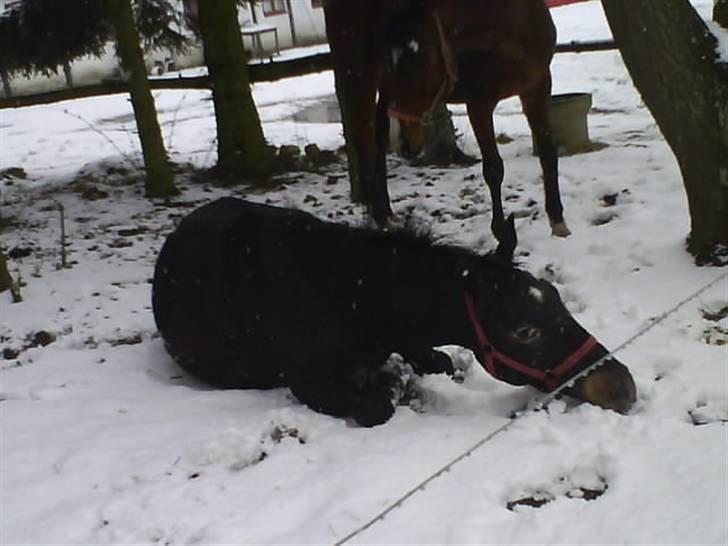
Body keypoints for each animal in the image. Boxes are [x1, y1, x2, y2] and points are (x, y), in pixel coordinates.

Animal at [154, 198, 636, 422]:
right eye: (524, 330)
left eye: (555, 295)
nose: (623, 387)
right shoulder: (308, 383)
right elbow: (378, 405)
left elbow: (438, 361)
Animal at [324, 0, 568, 253]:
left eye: (420, 58)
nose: (405, 143)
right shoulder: (479, 103)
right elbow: (493, 169)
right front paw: (502, 232)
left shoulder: (537, 86)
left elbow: (548, 153)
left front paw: (558, 221)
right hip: (362, 70)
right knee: (364, 137)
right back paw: (379, 216)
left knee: (379, 136)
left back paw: (387, 213)